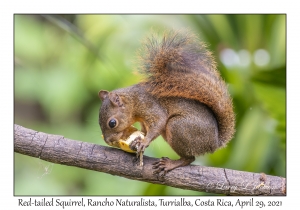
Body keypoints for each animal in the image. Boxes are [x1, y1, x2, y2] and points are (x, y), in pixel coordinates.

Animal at [98, 30, 234, 176]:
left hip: (178, 127)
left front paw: (144, 142)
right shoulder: (143, 122)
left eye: (112, 123)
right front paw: (139, 140)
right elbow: (145, 130)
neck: (133, 100)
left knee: (189, 158)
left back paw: (170, 164)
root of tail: (214, 143)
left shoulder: (150, 106)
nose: (108, 141)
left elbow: (159, 122)